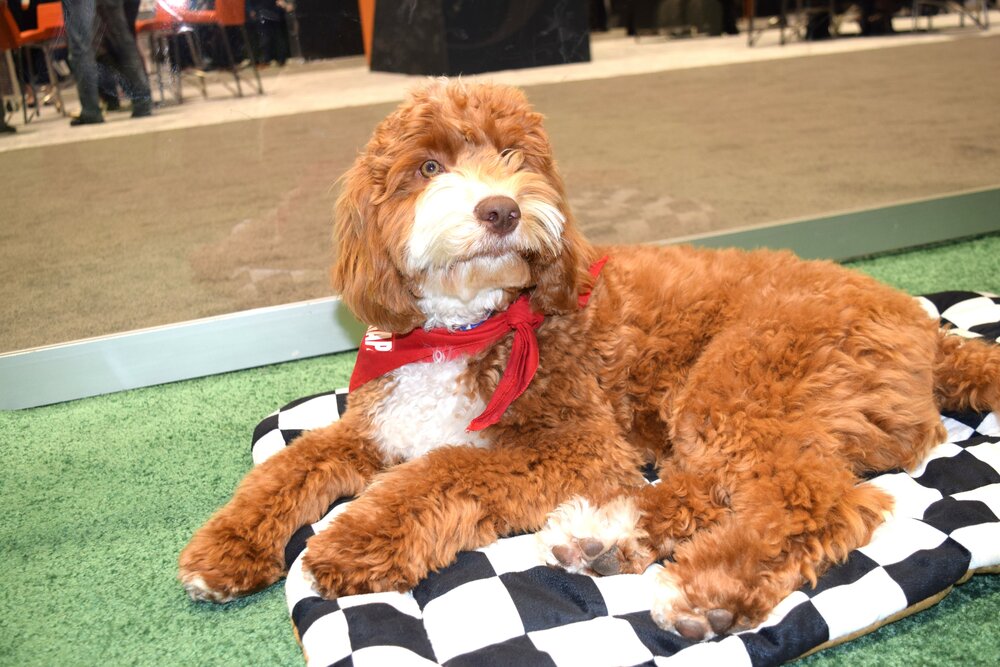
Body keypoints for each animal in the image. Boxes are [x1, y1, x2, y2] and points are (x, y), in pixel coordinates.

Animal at [179, 79, 1000, 642]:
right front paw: (224, 547)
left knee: (814, 502)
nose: (502, 209)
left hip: (738, 381)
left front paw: (352, 536)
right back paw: (604, 537)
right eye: (428, 167)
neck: (468, 325)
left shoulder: (578, 444)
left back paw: (704, 592)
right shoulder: (376, 429)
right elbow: (289, 466)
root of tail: (925, 324)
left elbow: (445, 470)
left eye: (516, 156)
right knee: (704, 489)